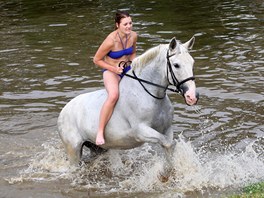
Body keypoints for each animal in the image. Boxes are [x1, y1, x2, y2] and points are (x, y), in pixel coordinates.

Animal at [57, 36, 198, 180]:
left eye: (192, 63)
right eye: (176, 65)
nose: (192, 97)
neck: (149, 95)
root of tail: (64, 111)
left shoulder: (167, 128)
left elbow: (169, 146)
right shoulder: (141, 131)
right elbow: (168, 143)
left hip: (95, 147)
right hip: (73, 150)